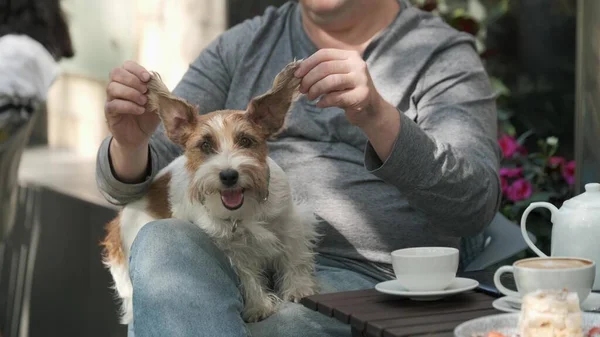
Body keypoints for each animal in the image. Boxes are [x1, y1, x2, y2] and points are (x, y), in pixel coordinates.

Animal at [101, 60, 322, 322]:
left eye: (246, 141)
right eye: (205, 145)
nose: (228, 175)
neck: (246, 210)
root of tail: (115, 228)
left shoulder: (290, 221)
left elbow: (296, 255)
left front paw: (299, 287)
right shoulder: (231, 250)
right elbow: (247, 277)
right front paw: (258, 305)